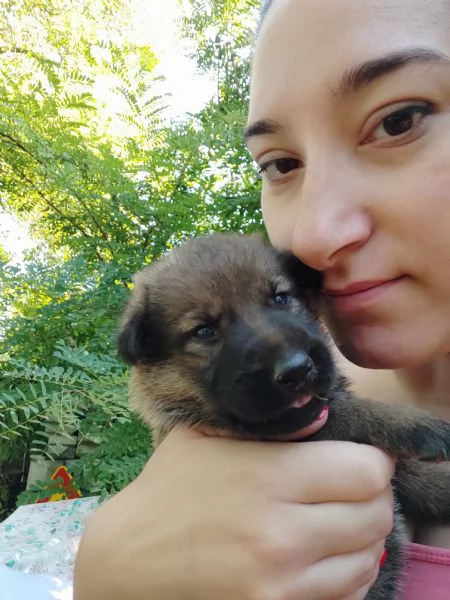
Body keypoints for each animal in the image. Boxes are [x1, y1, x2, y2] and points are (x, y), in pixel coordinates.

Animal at [118, 233, 450, 600]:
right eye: (204, 331)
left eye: (280, 298)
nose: (297, 369)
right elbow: (350, 414)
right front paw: (410, 424)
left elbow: (407, 472)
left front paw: (443, 484)